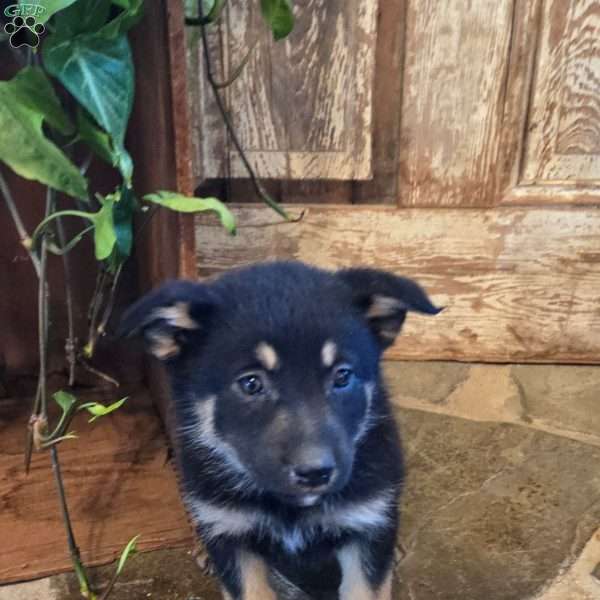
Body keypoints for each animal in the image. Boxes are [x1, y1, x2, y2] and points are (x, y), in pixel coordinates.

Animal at [120, 262, 440, 600]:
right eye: (251, 383)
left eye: (342, 376)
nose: (315, 473)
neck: (290, 506)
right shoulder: (232, 536)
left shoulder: (366, 529)